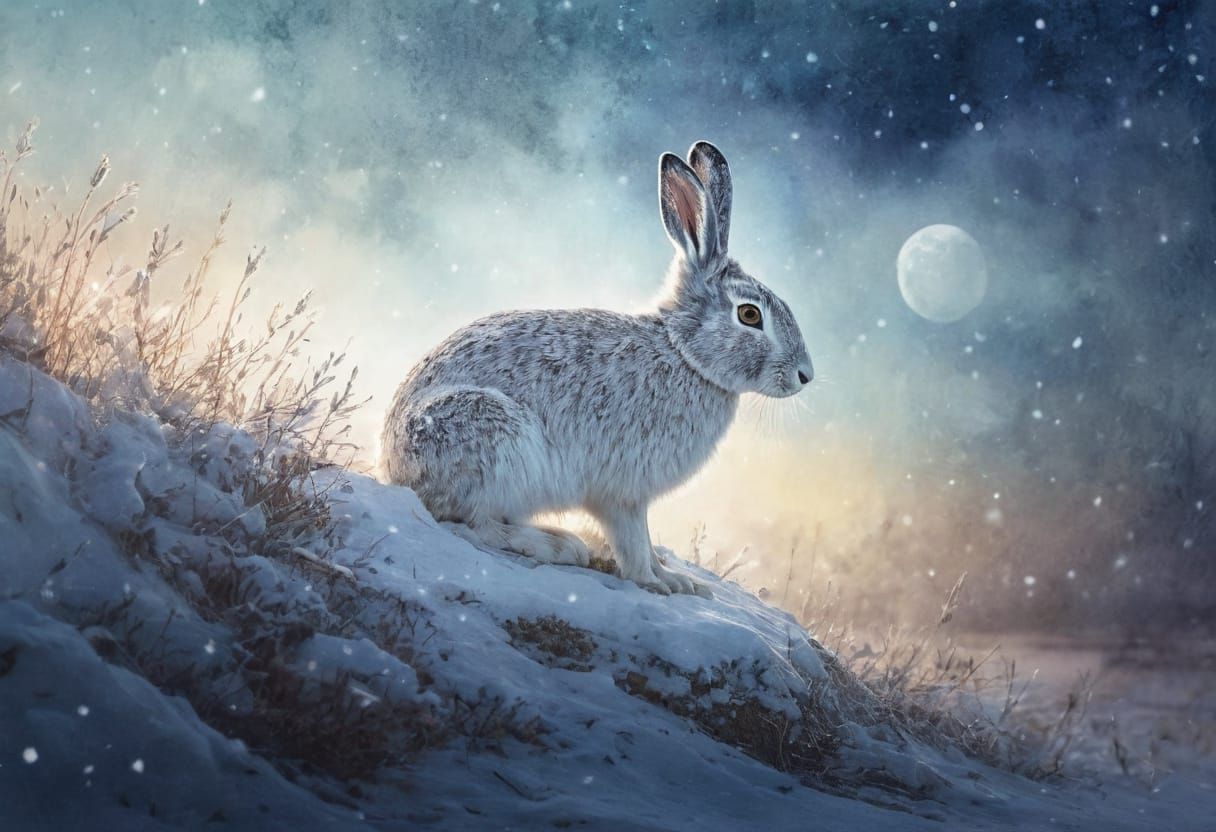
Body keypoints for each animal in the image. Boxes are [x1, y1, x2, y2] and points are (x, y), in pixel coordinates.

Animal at [381, 141, 813, 596]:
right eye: (749, 315)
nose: (805, 375)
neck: (683, 353)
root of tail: (393, 466)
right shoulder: (622, 492)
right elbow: (634, 543)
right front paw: (662, 583)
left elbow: (645, 540)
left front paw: (677, 579)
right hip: (491, 443)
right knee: (473, 524)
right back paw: (560, 545)